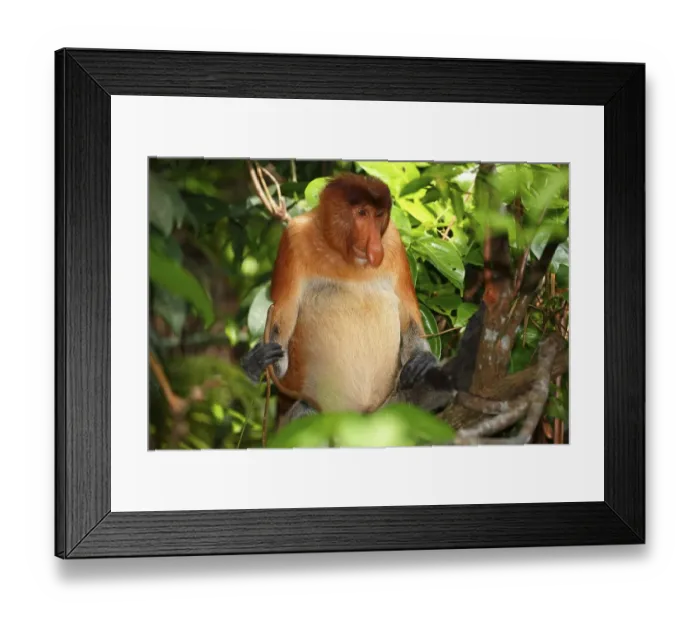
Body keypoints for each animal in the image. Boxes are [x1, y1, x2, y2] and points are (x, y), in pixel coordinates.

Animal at [240, 172, 449, 427]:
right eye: (362, 213)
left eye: (378, 215)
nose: (374, 247)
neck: (342, 254)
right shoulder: (293, 239)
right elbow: (281, 321)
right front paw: (255, 363)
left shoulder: (392, 242)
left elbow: (409, 317)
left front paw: (423, 359)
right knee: (308, 409)